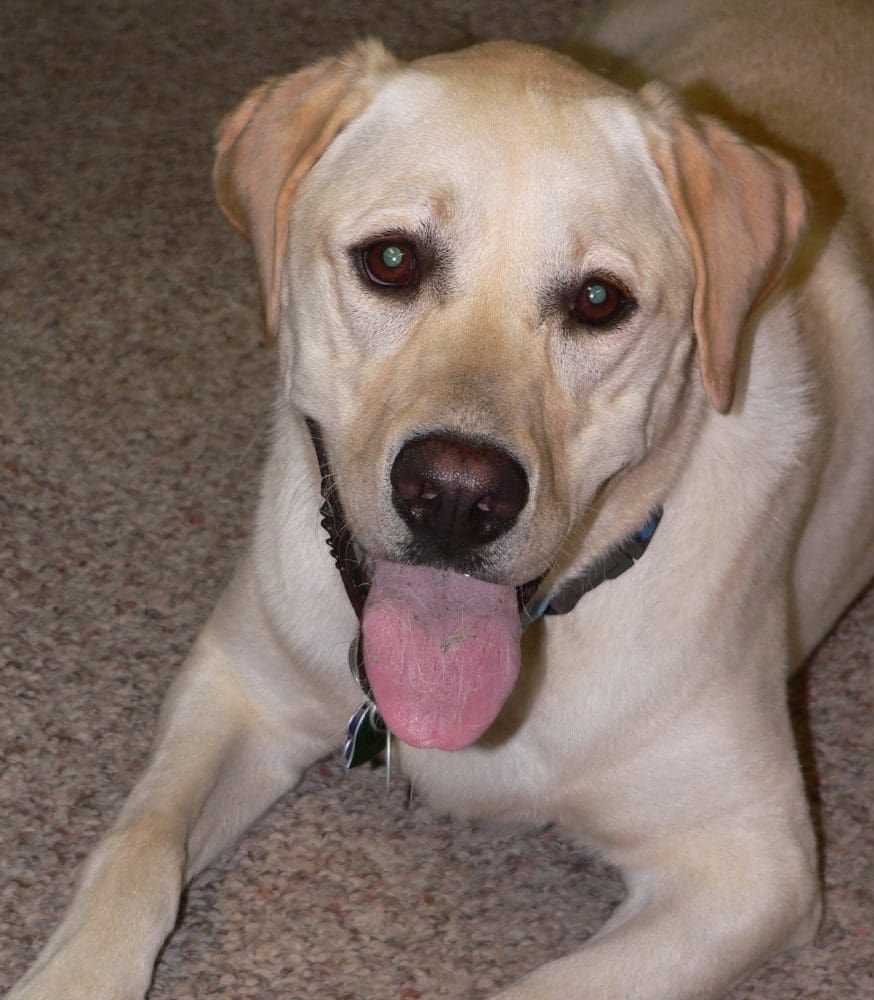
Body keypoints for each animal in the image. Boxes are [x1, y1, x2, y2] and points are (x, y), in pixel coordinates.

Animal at [10, 0, 874, 996]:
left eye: (599, 300)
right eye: (391, 259)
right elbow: (136, 850)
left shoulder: (748, 864)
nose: (459, 497)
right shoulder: (237, 686)